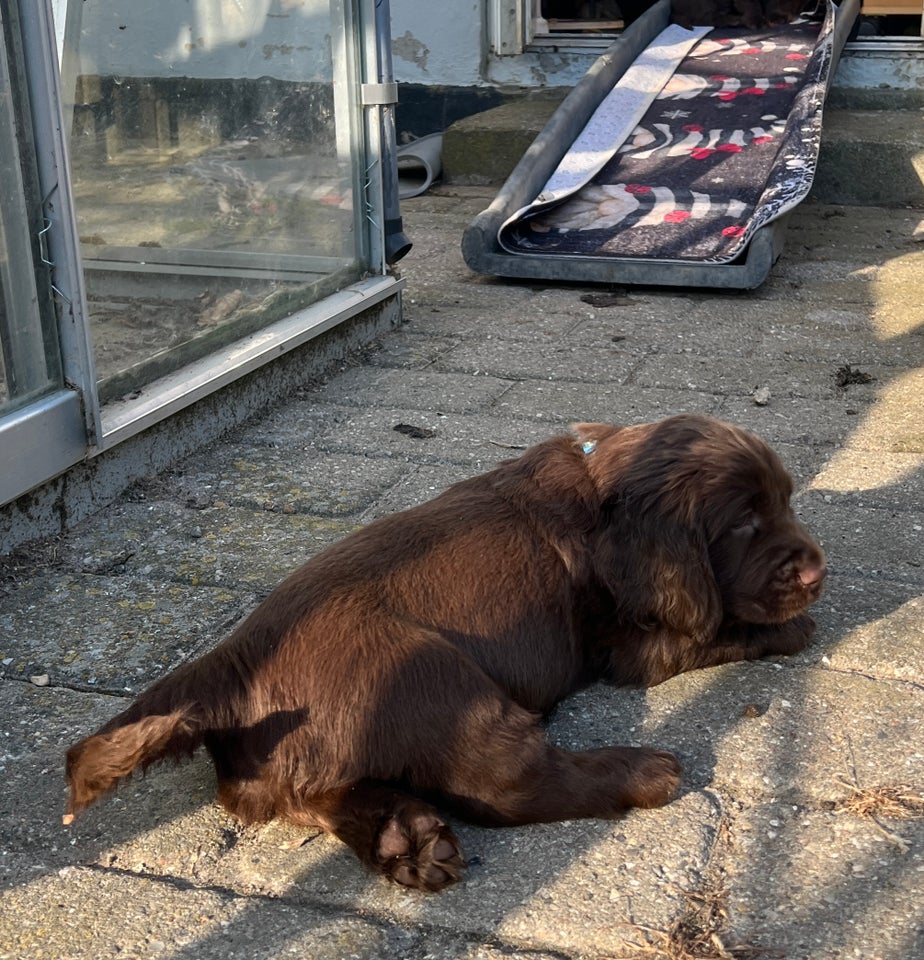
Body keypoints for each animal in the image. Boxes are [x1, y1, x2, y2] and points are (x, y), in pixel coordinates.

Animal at [67, 412, 832, 892]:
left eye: (786, 501)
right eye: (743, 522)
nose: (815, 570)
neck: (604, 490)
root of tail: (232, 664)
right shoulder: (634, 639)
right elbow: (722, 625)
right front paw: (794, 627)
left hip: (304, 757)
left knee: (318, 795)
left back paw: (406, 843)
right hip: (436, 677)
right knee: (508, 785)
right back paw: (644, 771)